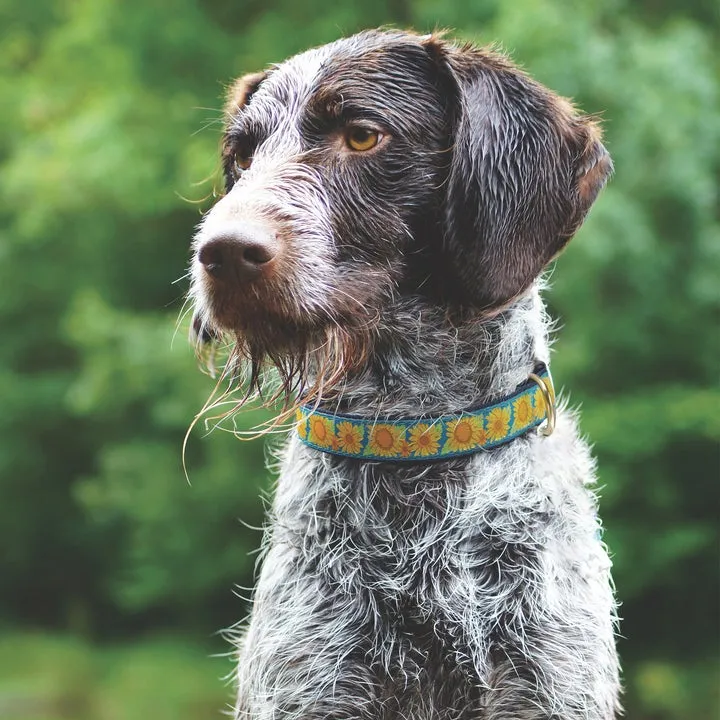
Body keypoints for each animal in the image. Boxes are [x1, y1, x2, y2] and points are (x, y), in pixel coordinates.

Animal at [188, 28, 620, 720]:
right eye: (243, 155)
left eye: (363, 135)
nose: (222, 252)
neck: (414, 438)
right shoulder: (311, 686)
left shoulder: (547, 685)